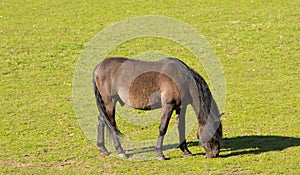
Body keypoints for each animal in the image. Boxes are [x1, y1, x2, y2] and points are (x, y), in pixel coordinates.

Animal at [92, 56, 221, 160]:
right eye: (213, 133)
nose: (214, 154)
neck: (183, 78)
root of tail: (99, 67)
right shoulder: (168, 105)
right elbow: (163, 128)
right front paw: (160, 154)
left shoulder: (181, 107)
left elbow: (181, 128)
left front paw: (186, 151)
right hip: (110, 102)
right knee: (111, 124)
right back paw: (121, 152)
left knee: (101, 119)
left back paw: (103, 148)